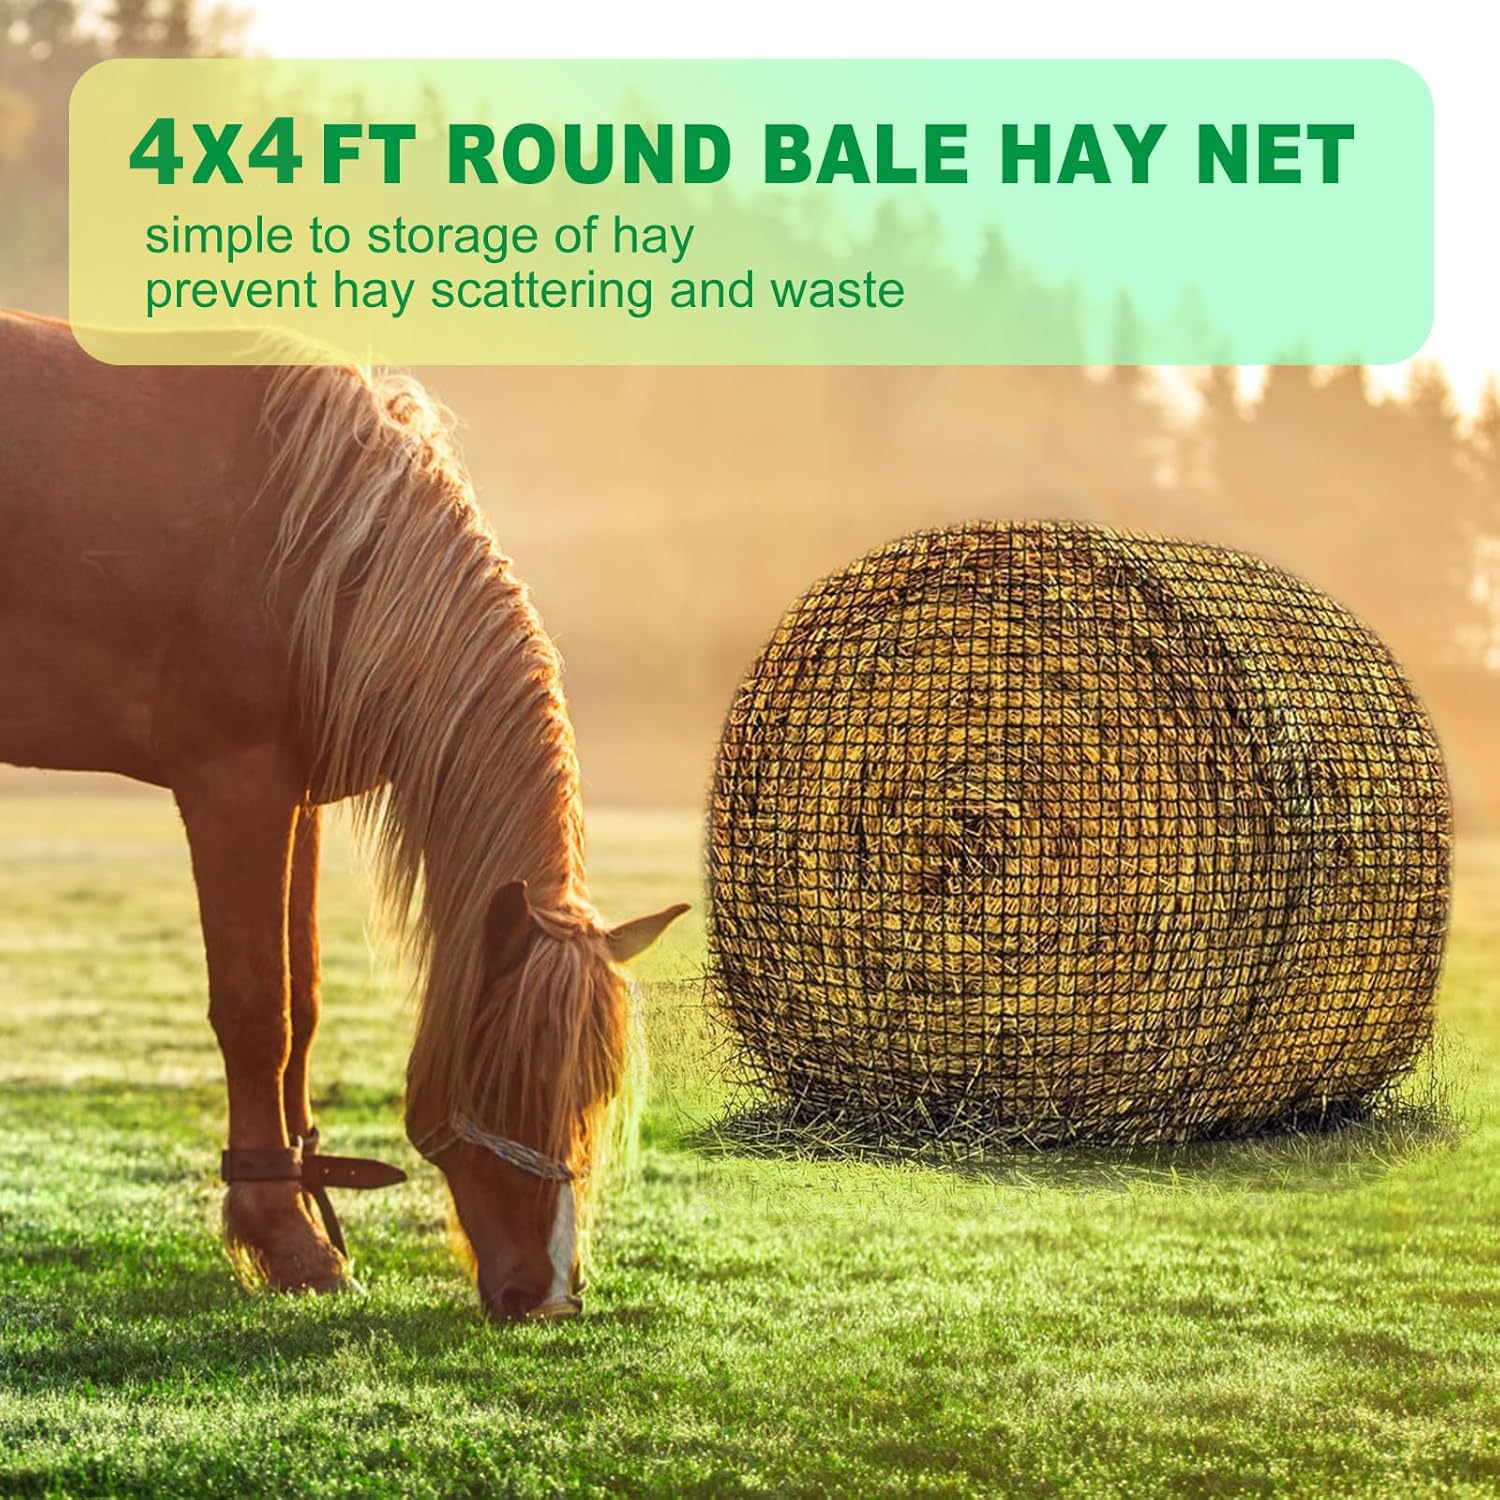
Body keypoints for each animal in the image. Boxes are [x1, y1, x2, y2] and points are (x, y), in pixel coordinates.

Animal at [0, 308, 686, 1321]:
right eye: (512, 1075)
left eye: (597, 1088)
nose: (550, 1293)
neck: (316, 544)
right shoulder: (234, 781)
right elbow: (259, 1010)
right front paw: (287, 1238)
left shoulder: (295, 800)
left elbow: (307, 1004)